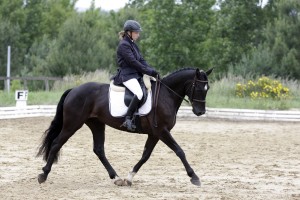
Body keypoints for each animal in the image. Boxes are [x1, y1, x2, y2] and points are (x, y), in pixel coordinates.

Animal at [36, 67, 212, 186]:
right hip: (72, 124)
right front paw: (194, 177)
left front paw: (129, 177)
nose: (200, 112)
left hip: (96, 124)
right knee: (56, 143)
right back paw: (43, 175)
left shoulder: (155, 134)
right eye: (197, 87)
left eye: (207, 89)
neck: (165, 95)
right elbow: (179, 151)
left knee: (98, 149)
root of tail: (74, 90)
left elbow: (145, 155)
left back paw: (116, 177)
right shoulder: (161, 131)